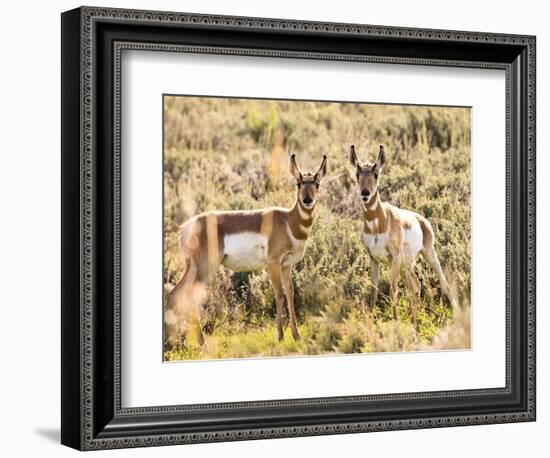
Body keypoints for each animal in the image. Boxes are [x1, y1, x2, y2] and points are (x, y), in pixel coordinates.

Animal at [164, 154, 328, 348]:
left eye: (316, 183)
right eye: (299, 182)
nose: (307, 200)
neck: (288, 221)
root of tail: (185, 227)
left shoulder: (286, 265)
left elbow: (290, 293)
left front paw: (296, 336)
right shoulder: (273, 264)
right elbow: (278, 293)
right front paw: (280, 336)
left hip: (197, 268)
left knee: (179, 295)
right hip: (204, 267)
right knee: (182, 295)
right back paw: (193, 343)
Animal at [352, 144, 460, 322]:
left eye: (376, 174)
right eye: (357, 174)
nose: (365, 193)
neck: (379, 224)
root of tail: (422, 220)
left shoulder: (394, 258)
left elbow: (393, 288)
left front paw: (396, 321)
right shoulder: (373, 259)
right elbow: (374, 290)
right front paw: (372, 318)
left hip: (428, 255)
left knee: (444, 284)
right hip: (407, 266)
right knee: (416, 285)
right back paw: (416, 319)